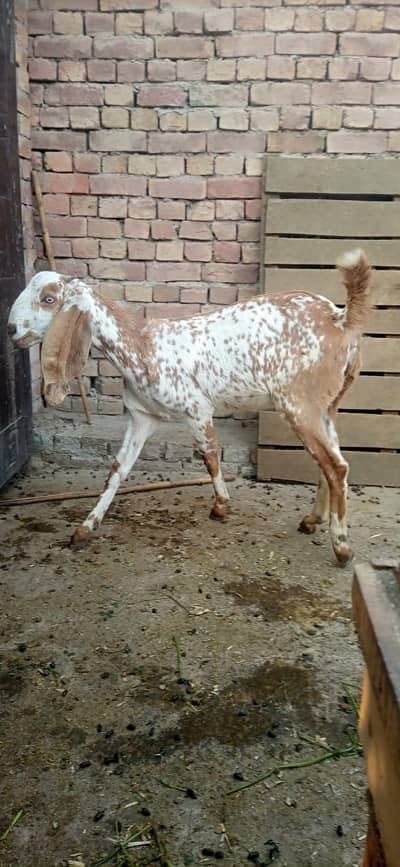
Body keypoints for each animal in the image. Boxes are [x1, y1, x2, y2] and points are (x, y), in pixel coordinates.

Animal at [8, 249, 371, 566]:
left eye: (49, 299)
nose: (11, 330)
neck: (141, 346)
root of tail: (339, 318)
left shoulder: (197, 409)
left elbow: (210, 457)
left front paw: (221, 506)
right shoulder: (141, 417)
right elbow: (118, 470)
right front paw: (85, 528)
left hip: (298, 402)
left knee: (336, 466)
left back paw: (341, 546)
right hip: (326, 404)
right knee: (331, 461)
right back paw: (313, 520)